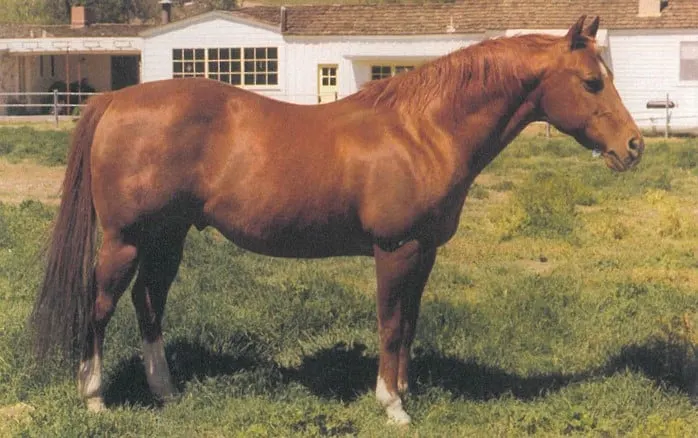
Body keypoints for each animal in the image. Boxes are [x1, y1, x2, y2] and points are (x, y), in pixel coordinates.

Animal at [32, 16, 643, 425]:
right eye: (592, 82)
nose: (633, 147)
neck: (423, 131)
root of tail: (115, 100)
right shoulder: (395, 249)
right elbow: (390, 323)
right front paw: (393, 406)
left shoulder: (423, 252)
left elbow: (409, 324)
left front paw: (405, 390)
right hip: (125, 240)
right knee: (102, 304)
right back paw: (95, 398)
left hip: (168, 237)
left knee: (148, 303)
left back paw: (166, 393)